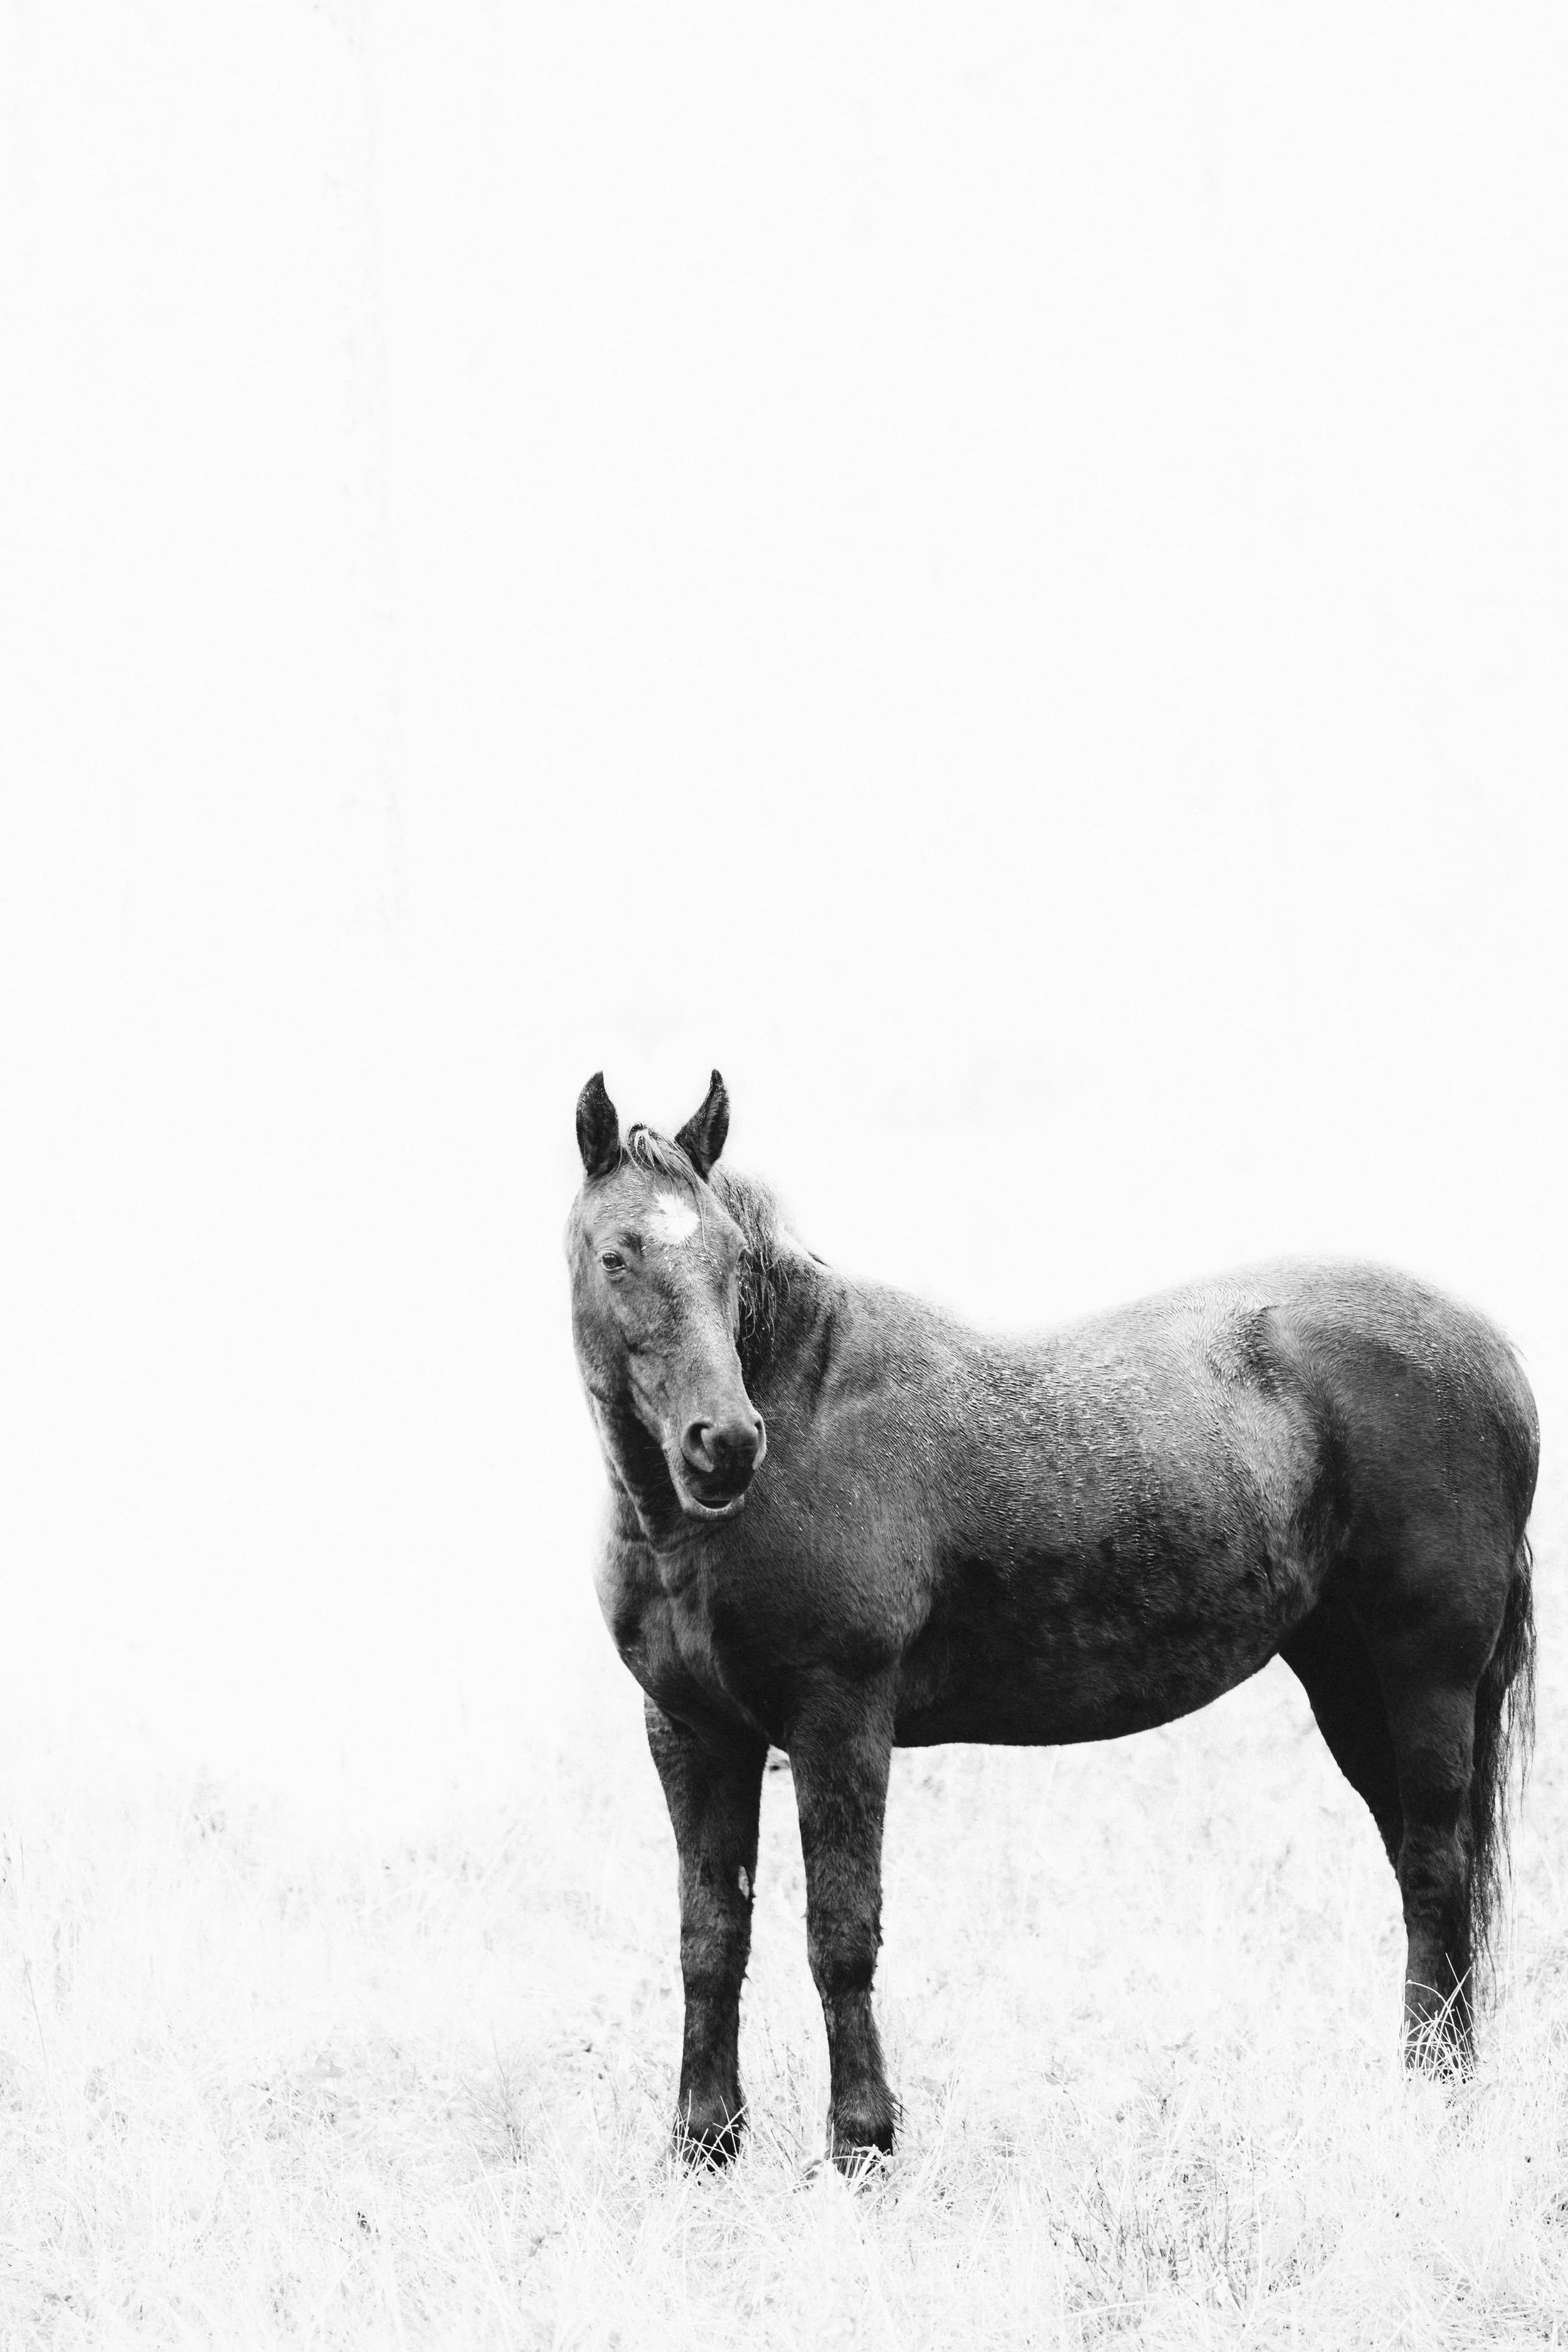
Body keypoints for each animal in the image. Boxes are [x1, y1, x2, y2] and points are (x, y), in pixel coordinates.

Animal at [565, 1070, 1539, 2172]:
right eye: (615, 1253)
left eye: (731, 1261)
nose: (723, 1442)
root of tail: (1492, 1352)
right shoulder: (693, 1734)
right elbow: (709, 1937)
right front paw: (704, 2143)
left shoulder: (838, 1721)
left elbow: (841, 1933)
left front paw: (862, 2144)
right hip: (1348, 1682)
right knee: (1425, 1866)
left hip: (1427, 1678)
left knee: (1434, 1868)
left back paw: (1429, 2089)